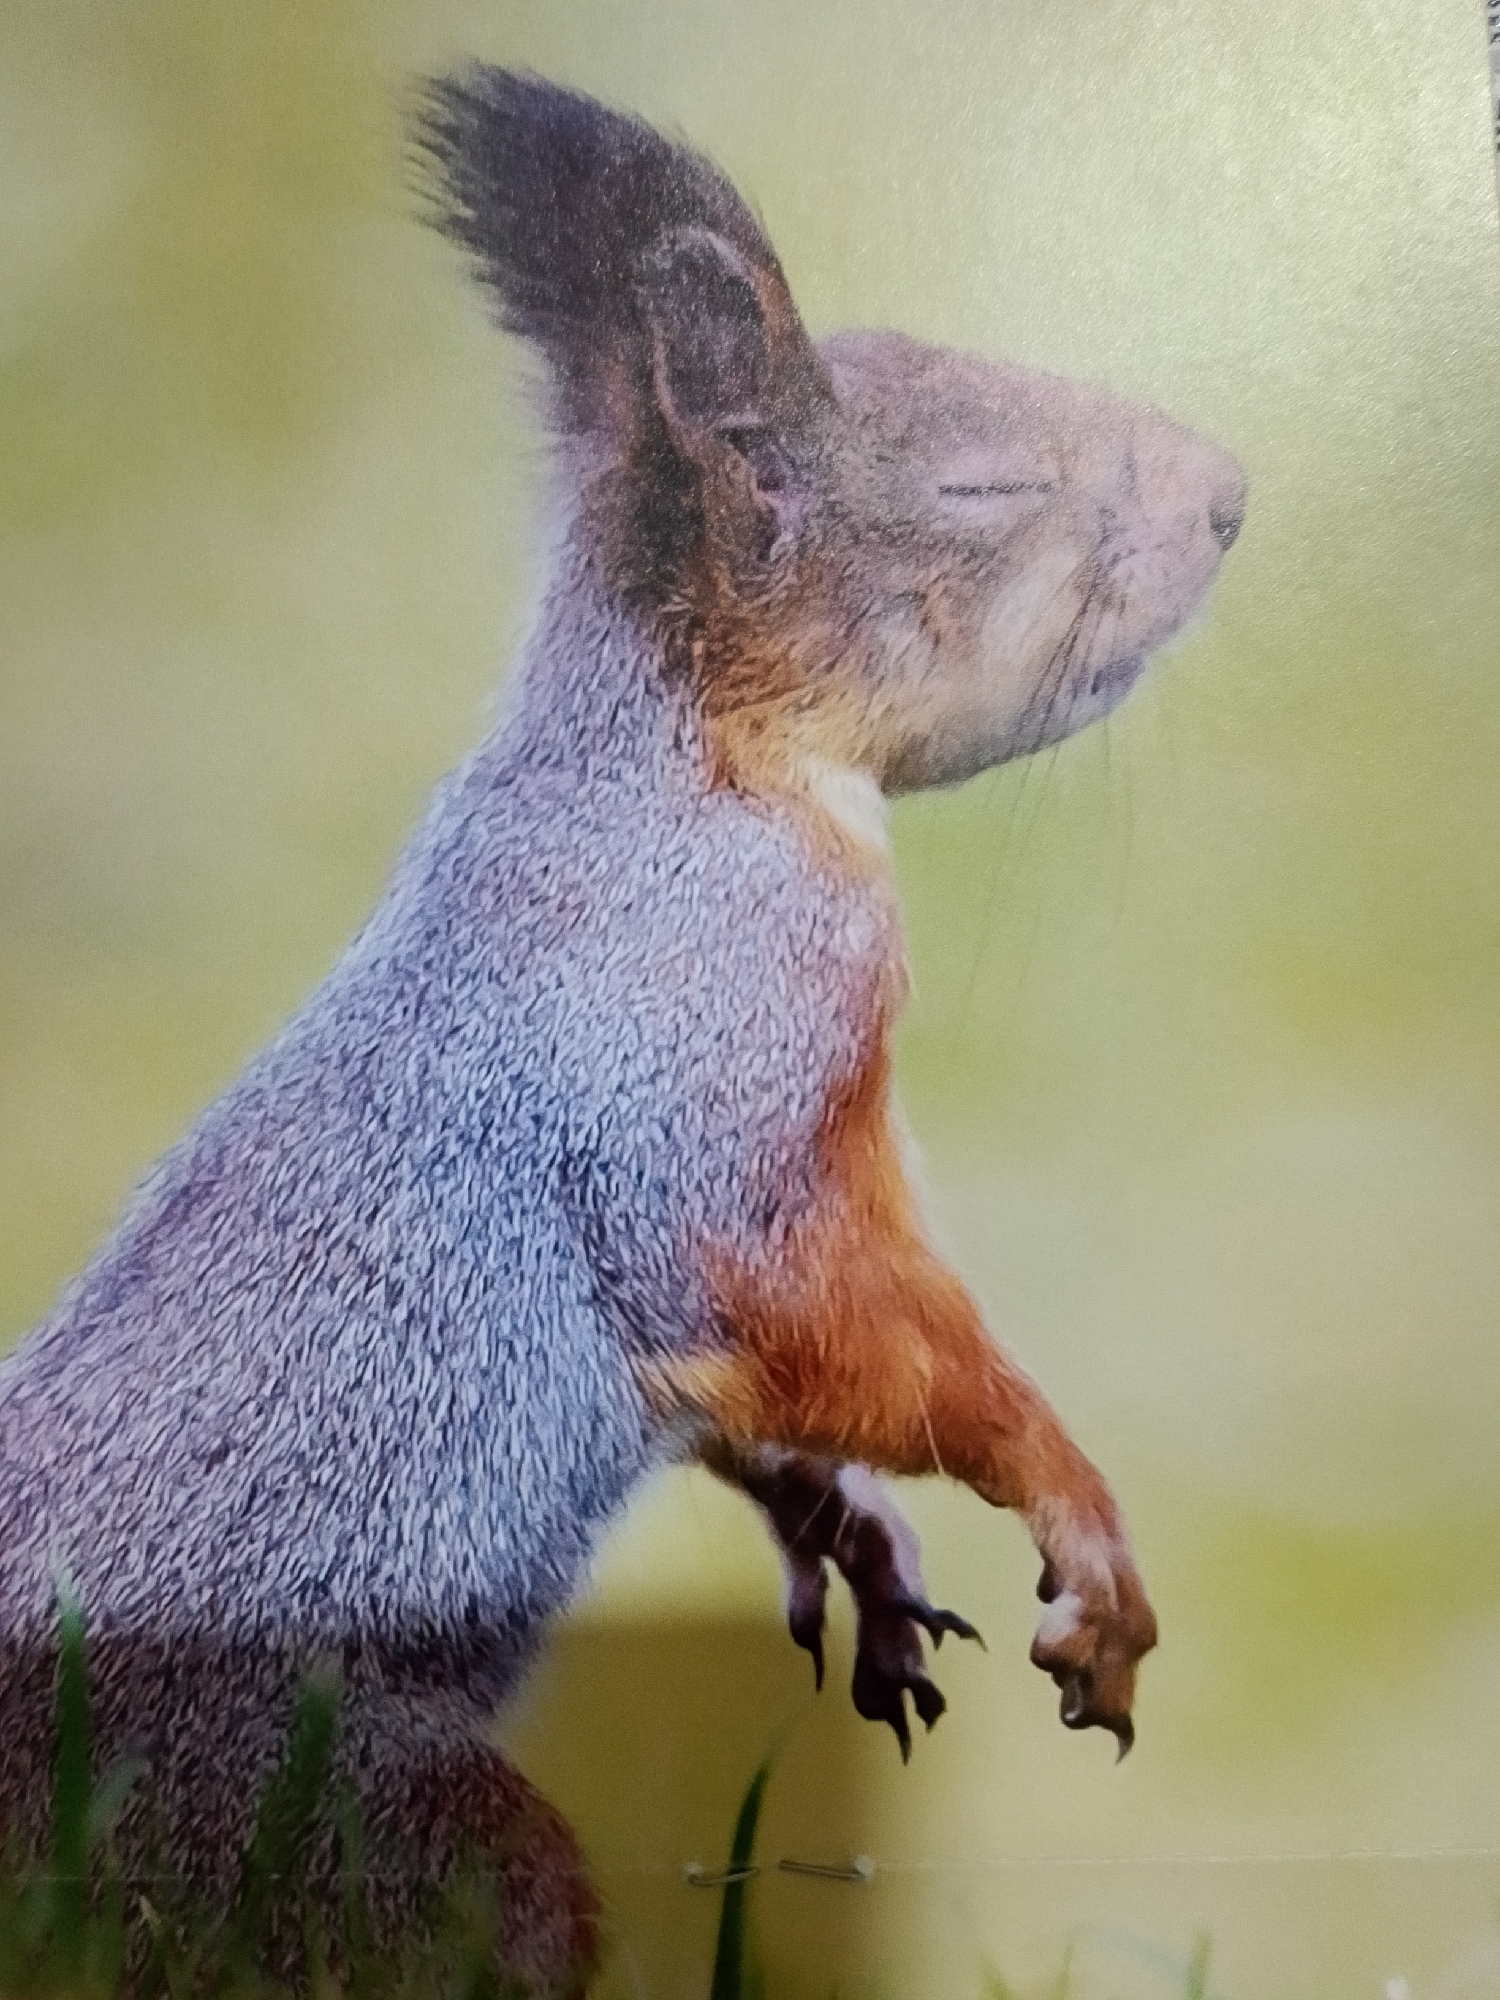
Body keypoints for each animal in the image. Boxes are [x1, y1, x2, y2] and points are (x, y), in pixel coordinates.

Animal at [0, 67, 1246, 1997]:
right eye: (979, 484)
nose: (1233, 495)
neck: (711, 769)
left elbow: (770, 1391)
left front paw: (852, 1533)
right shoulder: (709, 1074)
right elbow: (822, 1316)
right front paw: (1074, 1517)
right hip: (320, 1822)